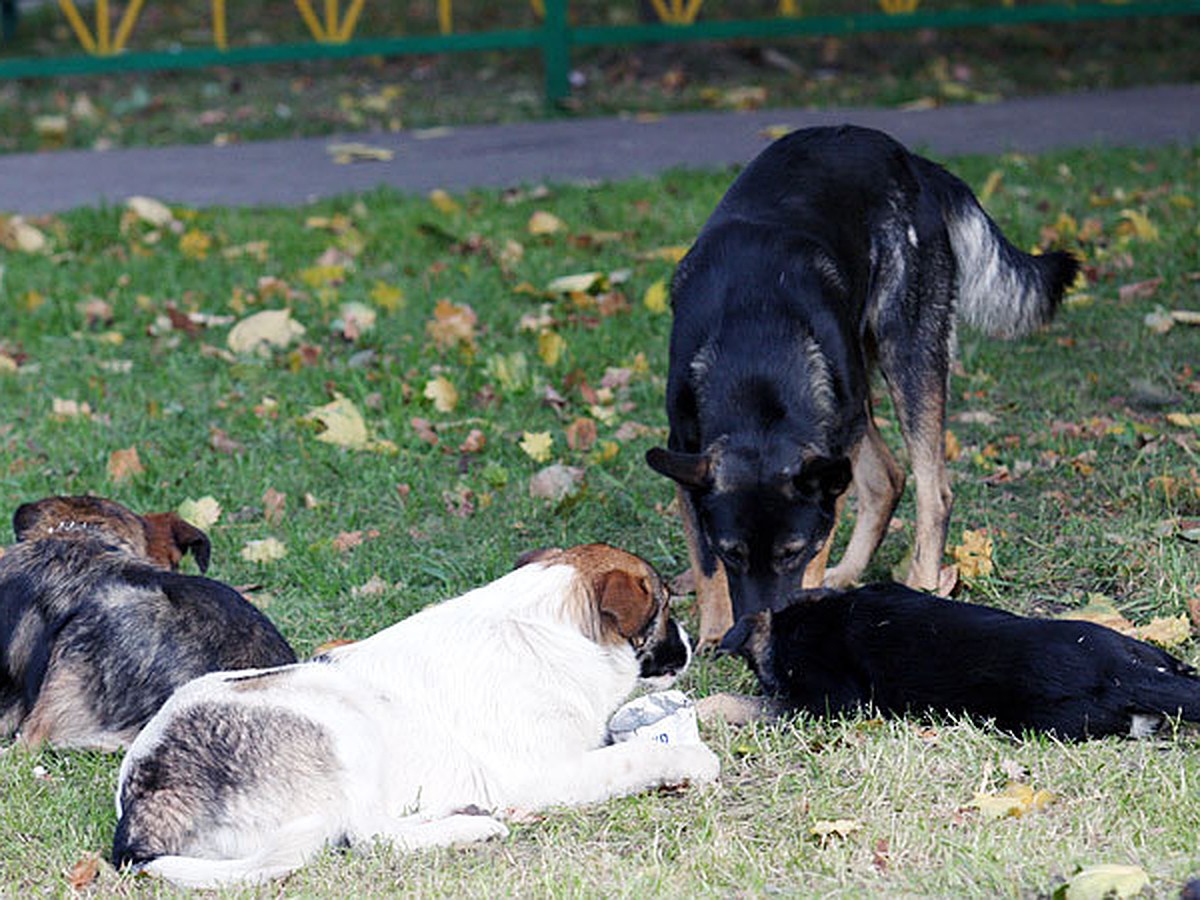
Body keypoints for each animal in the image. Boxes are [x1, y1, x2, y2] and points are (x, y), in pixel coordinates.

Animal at [648, 125, 1080, 648]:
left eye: (790, 553)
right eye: (734, 554)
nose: (749, 634)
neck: (755, 346)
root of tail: (911, 160)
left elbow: (822, 538)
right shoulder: (690, 451)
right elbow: (704, 559)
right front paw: (713, 627)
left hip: (907, 359)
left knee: (933, 492)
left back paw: (923, 583)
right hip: (856, 397)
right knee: (887, 478)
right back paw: (849, 574)